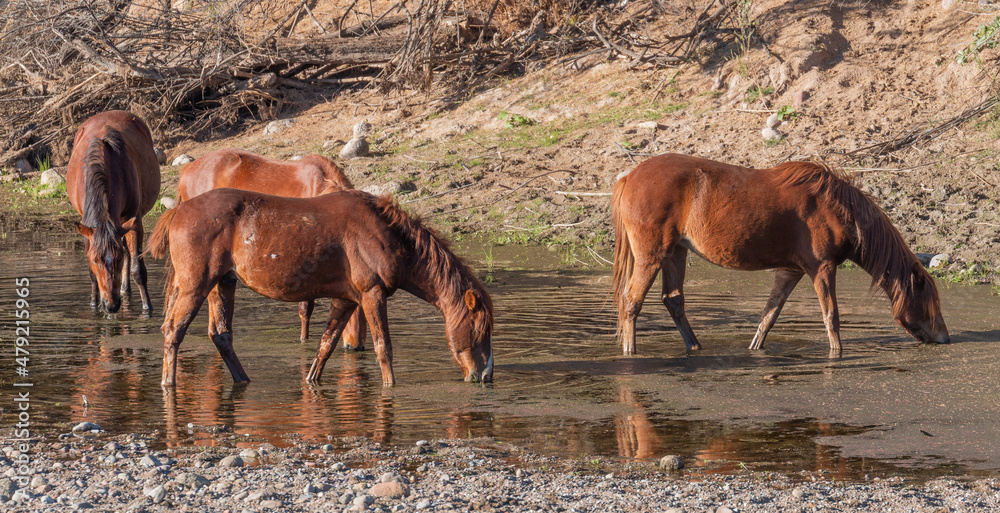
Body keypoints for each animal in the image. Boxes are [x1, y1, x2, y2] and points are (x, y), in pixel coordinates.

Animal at [66, 110, 160, 313]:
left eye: (116, 259)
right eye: (94, 260)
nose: (111, 305)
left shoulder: (133, 220)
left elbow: (137, 268)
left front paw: (147, 308)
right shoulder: (87, 227)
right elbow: (92, 274)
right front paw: (94, 304)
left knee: (128, 252)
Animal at [146, 188, 494, 387]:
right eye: (480, 330)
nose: (486, 375)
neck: (385, 232)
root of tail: (179, 210)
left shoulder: (347, 300)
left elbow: (326, 347)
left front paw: (312, 381)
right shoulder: (372, 294)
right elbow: (383, 348)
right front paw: (390, 387)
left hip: (223, 283)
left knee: (221, 335)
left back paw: (243, 380)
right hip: (196, 286)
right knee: (174, 330)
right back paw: (167, 384)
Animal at [612, 153, 948, 356]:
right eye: (929, 302)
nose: (945, 337)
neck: (838, 209)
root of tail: (629, 176)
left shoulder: (791, 270)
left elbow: (769, 314)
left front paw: (755, 348)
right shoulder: (822, 268)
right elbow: (831, 316)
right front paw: (837, 354)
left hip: (676, 253)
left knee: (673, 301)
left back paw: (695, 347)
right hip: (652, 255)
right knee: (631, 301)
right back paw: (630, 351)